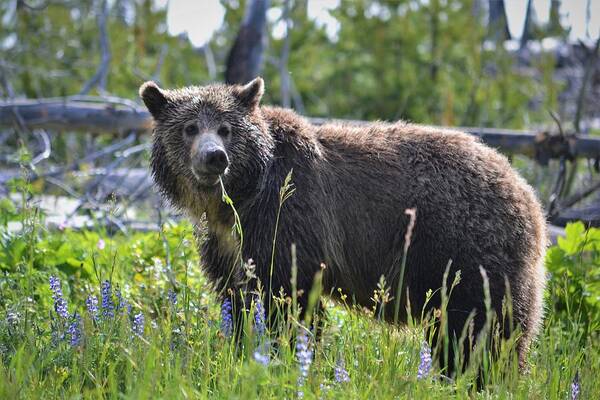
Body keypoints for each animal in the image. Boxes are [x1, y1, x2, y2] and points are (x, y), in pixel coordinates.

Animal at [141, 77, 548, 376]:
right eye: (190, 127)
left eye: (226, 128)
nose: (214, 157)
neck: (239, 199)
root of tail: (527, 192)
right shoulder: (226, 243)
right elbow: (237, 298)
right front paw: (243, 350)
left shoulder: (289, 215)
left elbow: (288, 295)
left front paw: (289, 356)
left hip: (466, 248)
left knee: (483, 327)